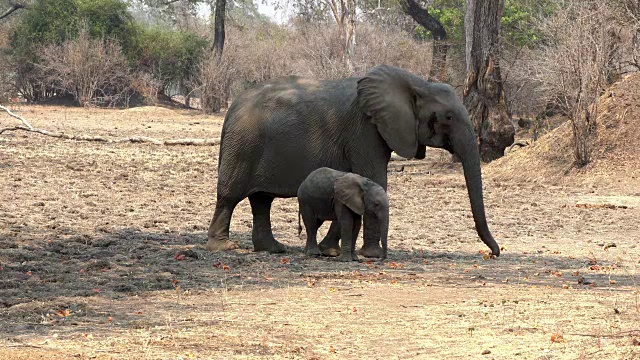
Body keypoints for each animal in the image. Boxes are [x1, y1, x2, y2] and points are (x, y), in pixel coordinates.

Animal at [205, 64, 500, 256]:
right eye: (448, 117)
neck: (415, 83)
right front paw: (368, 254)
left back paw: (274, 249)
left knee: (261, 200)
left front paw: (331, 250)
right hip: (243, 145)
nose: (494, 253)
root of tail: (232, 107)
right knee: (230, 196)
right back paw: (224, 247)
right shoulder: (365, 130)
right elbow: (375, 179)